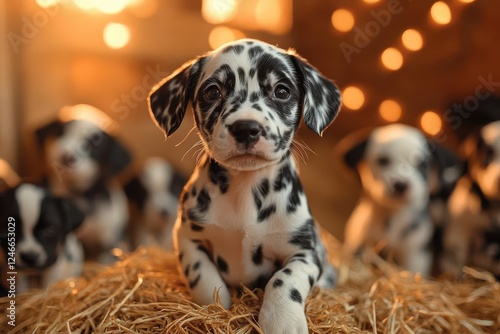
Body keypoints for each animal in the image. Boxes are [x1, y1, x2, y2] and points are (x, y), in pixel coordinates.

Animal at [146, 39, 342, 334]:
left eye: (281, 91)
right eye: (213, 91)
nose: (246, 128)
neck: (245, 190)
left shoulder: (306, 251)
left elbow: (284, 279)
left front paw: (282, 321)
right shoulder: (187, 236)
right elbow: (203, 277)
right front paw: (215, 308)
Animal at [340, 124, 460, 276]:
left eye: (421, 164)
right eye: (383, 160)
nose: (401, 185)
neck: (393, 216)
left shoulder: (416, 255)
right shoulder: (358, 241)